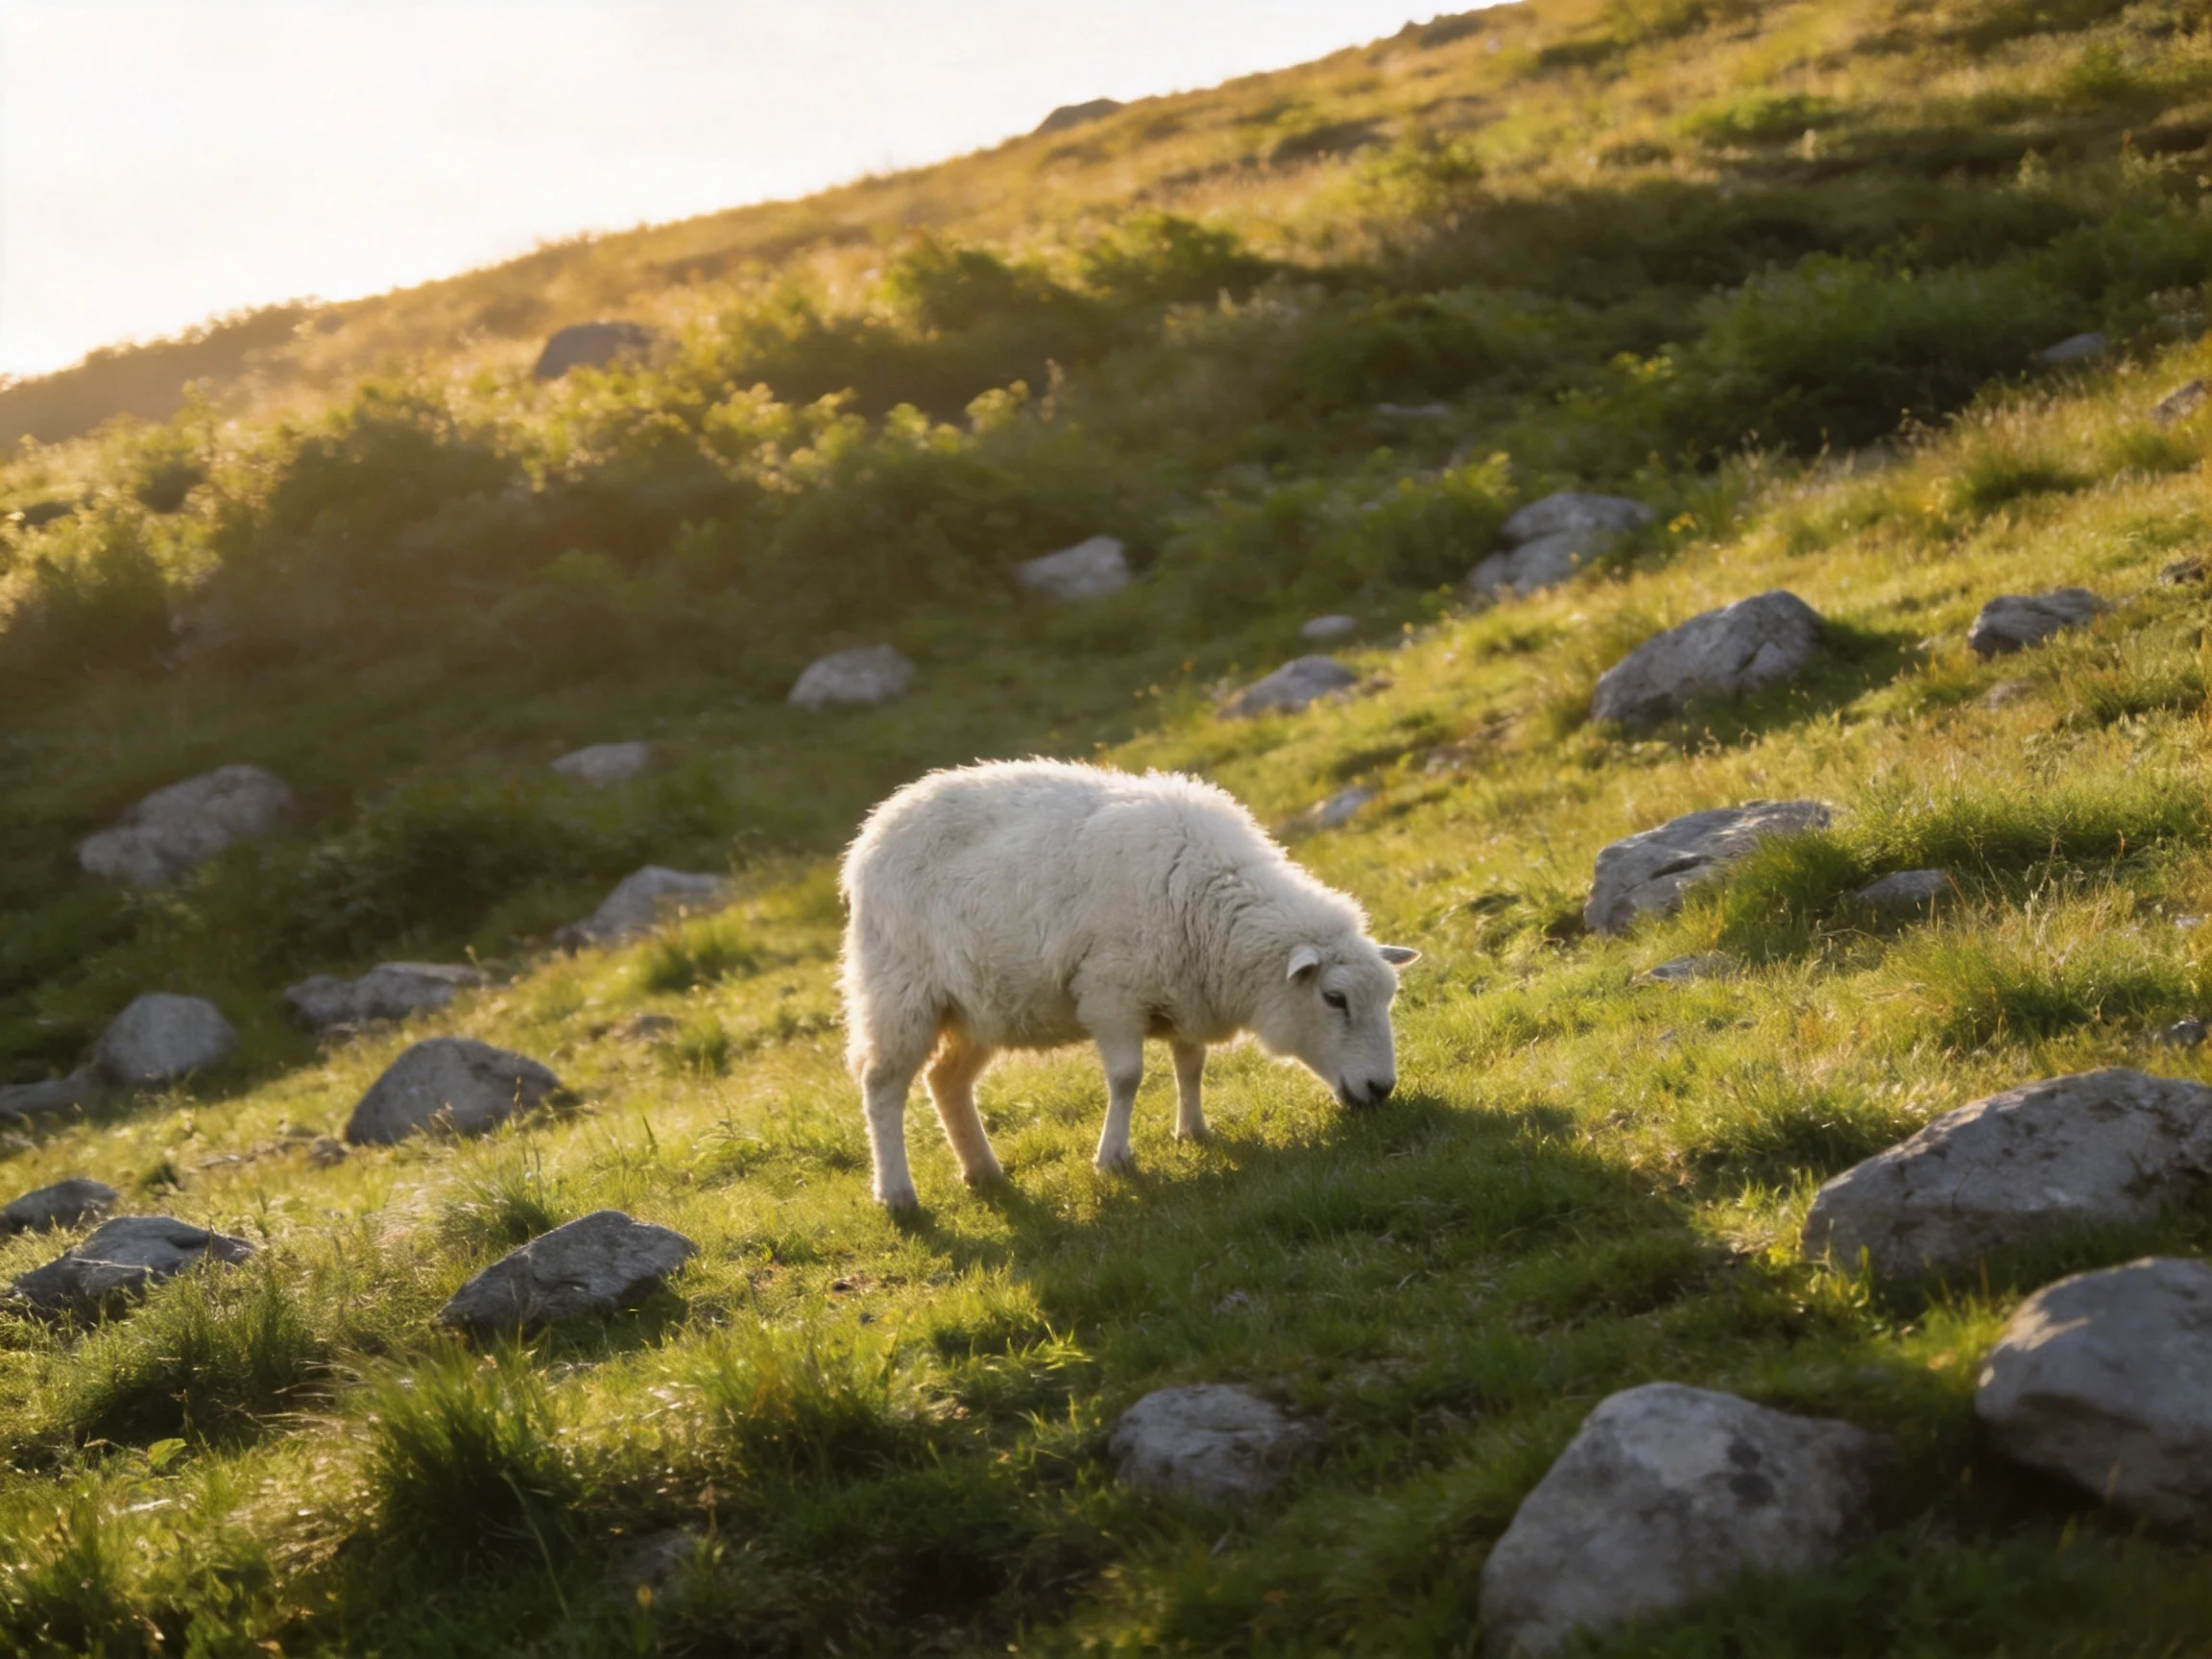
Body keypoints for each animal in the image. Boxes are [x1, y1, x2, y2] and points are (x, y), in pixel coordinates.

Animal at [839, 758, 1419, 1210]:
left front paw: (1194, 1131)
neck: (1215, 908)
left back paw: (984, 1172)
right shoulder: (1111, 993)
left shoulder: (1185, 989)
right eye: (1334, 998)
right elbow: (1127, 1078)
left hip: (979, 1006)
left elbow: (1191, 1064)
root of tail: (876, 823)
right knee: (882, 1085)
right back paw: (897, 1194)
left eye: (1387, 998)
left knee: (946, 1081)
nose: (1381, 1089)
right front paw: (1113, 1158)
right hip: (899, 992)